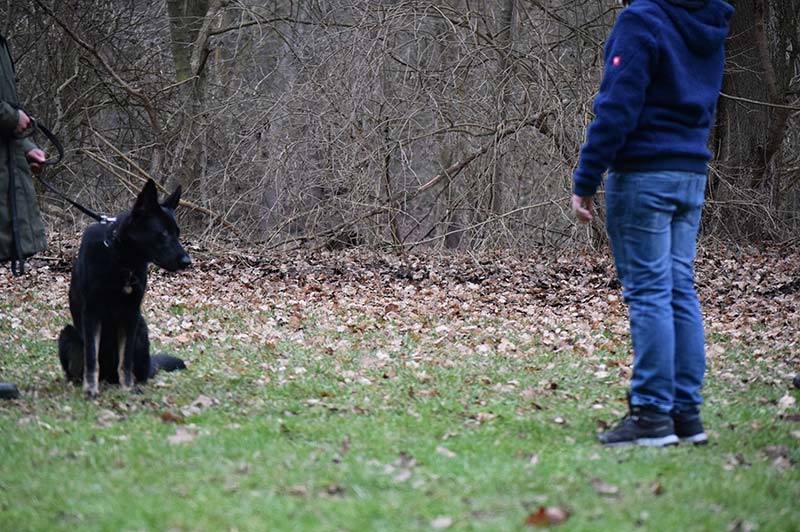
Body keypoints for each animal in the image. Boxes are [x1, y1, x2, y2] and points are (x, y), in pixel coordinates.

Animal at [57, 181, 192, 396]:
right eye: (163, 233)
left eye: (177, 233)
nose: (188, 262)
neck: (121, 261)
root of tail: (109, 377)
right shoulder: (91, 315)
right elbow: (92, 359)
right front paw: (90, 390)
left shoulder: (130, 316)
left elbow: (125, 360)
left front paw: (128, 388)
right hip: (67, 335)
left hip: (141, 331)